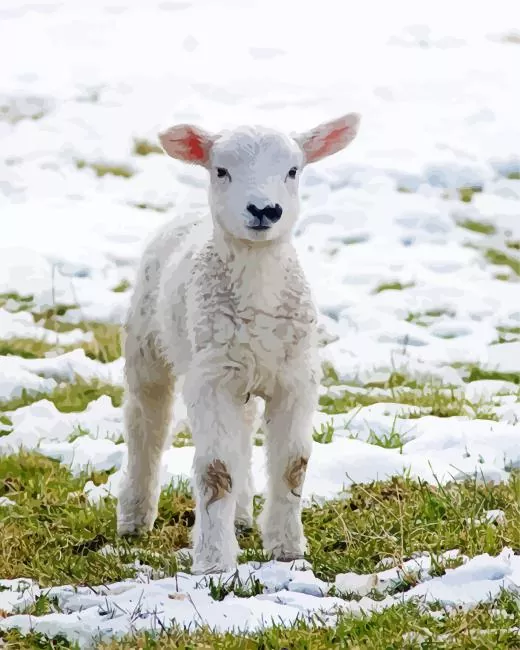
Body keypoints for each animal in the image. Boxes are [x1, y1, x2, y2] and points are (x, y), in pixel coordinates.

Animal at [116, 112, 361, 574]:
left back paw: (244, 516)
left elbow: (292, 466)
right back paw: (134, 518)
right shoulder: (210, 380)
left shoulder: (296, 377)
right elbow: (216, 471)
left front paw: (287, 550)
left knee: (244, 433)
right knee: (146, 425)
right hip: (147, 344)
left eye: (293, 171)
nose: (264, 210)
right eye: (221, 170)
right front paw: (214, 562)